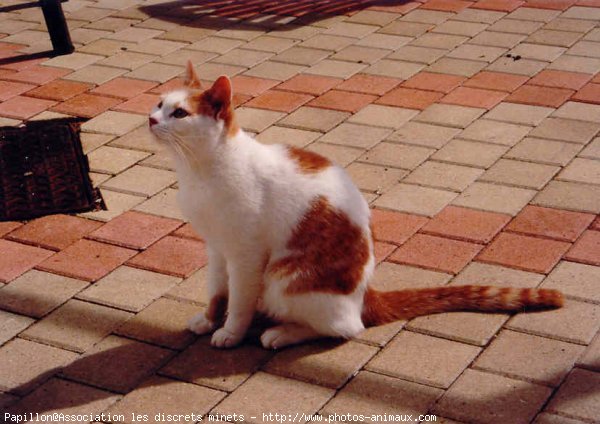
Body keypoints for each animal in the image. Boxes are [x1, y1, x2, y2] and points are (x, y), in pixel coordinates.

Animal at [148, 61, 564, 350]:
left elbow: (238, 301)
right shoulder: (217, 249)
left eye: (179, 113)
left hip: (282, 277)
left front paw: (231, 332)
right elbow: (217, 292)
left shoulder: (246, 256)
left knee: (345, 328)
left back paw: (283, 332)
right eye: (159, 103)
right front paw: (209, 320)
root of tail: (365, 294)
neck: (199, 169)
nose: (150, 118)